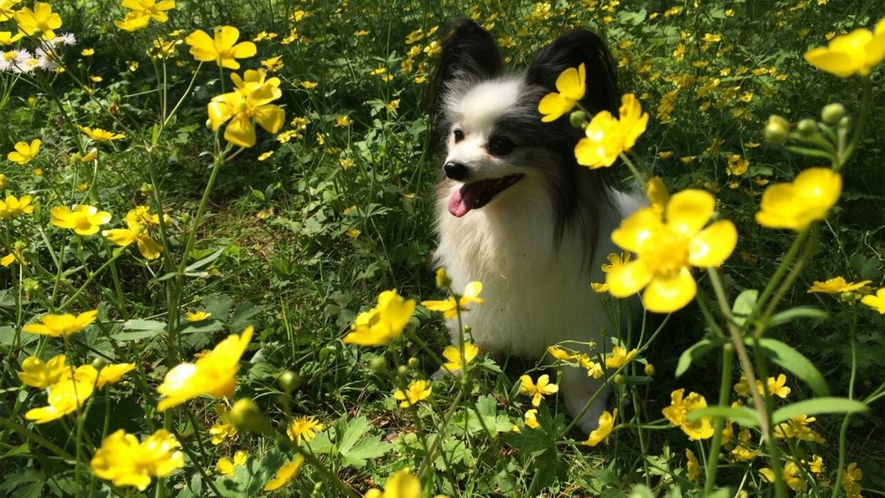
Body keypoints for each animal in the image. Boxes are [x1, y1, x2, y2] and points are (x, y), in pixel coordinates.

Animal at [430, 19, 644, 432]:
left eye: (501, 144)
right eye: (457, 135)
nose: (453, 168)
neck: (504, 221)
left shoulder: (580, 319)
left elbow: (578, 378)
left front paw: (593, 423)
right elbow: (473, 345)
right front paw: (453, 376)